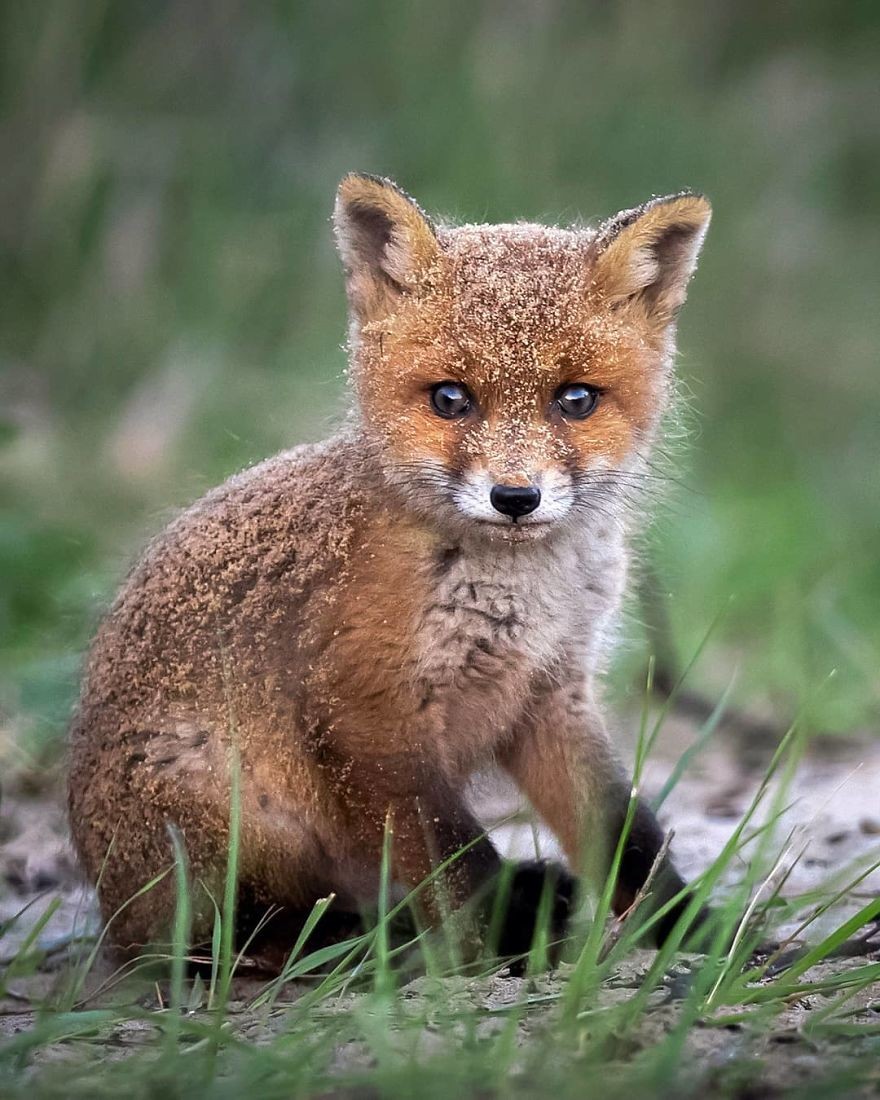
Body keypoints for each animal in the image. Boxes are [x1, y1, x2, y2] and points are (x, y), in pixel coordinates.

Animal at [70, 171, 712, 963]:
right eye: (450, 398)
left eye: (576, 399)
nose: (515, 497)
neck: (519, 595)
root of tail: (107, 903)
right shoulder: (366, 713)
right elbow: (453, 854)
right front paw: (494, 940)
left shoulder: (551, 694)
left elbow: (628, 835)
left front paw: (697, 930)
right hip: (232, 814)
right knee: (214, 935)